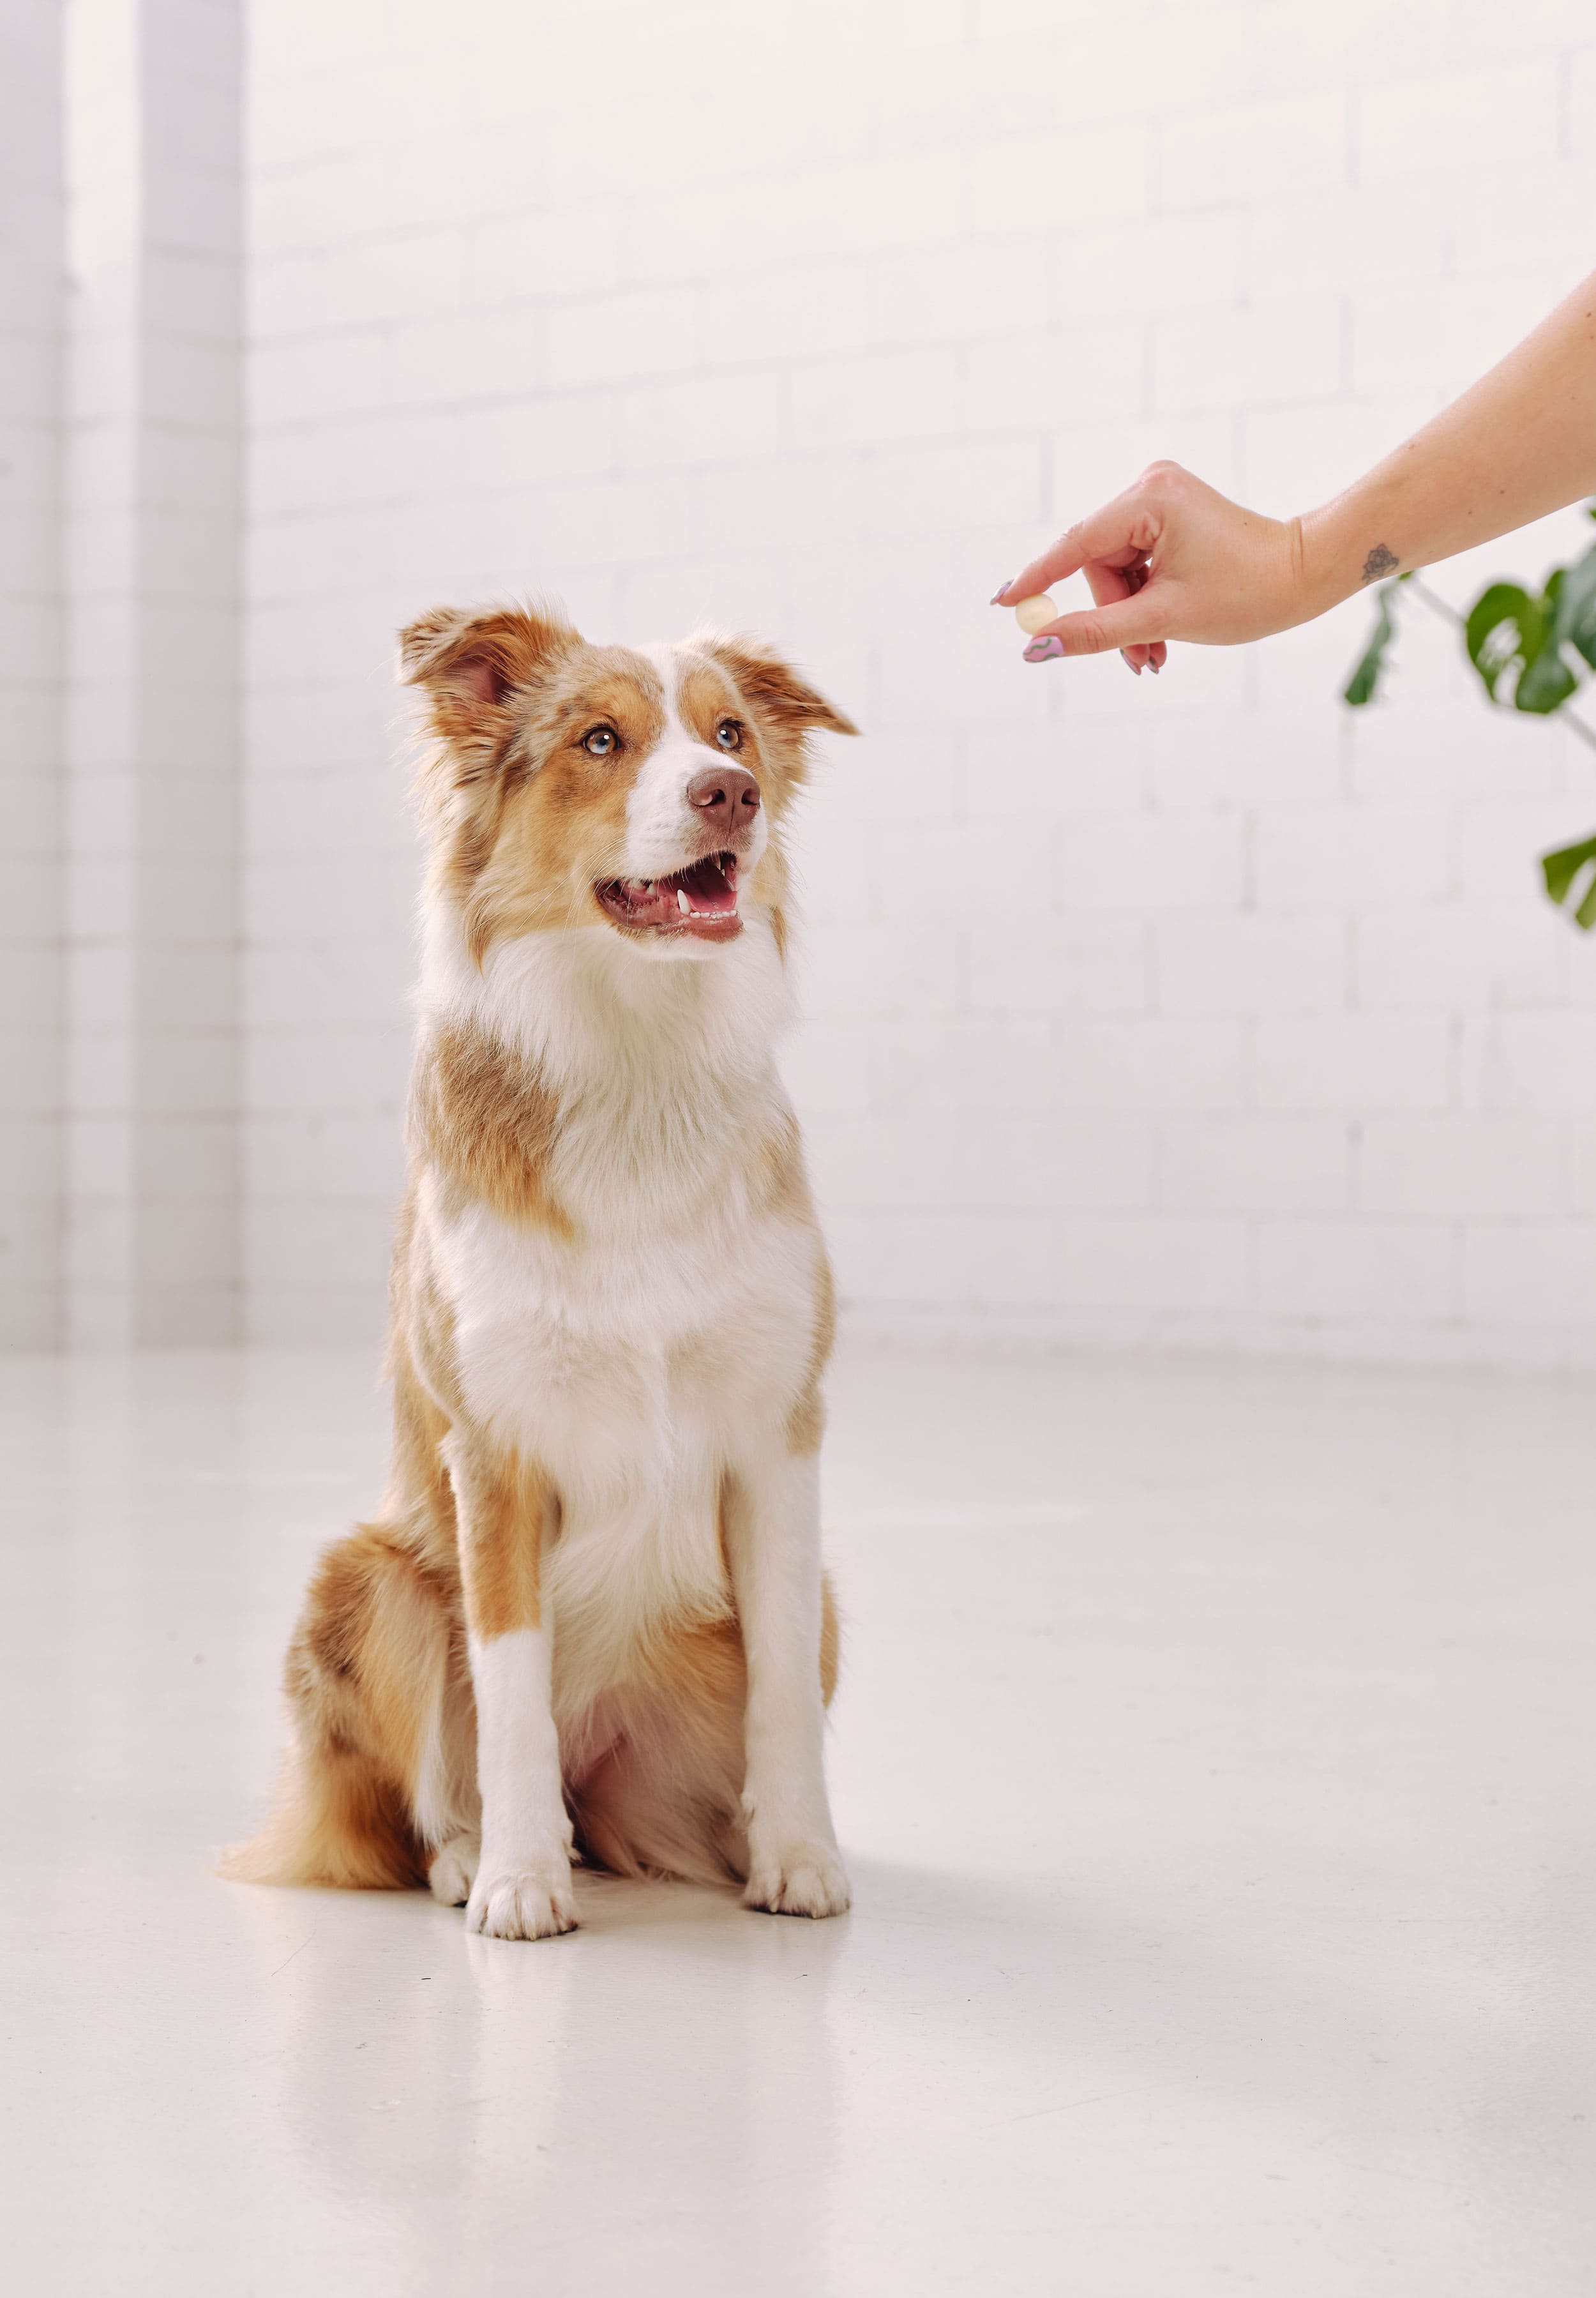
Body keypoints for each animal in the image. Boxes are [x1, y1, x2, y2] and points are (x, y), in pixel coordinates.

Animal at [225, 601, 863, 1930]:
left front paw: (797, 1854)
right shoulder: (495, 1451)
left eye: (732, 732)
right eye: (601, 739)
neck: (637, 1052)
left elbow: (781, 1684)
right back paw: (478, 1855)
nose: (731, 794)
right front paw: (522, 1879)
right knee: (429, 1787)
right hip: (367, 1575)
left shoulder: (779, 1436)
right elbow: (507, 1693)